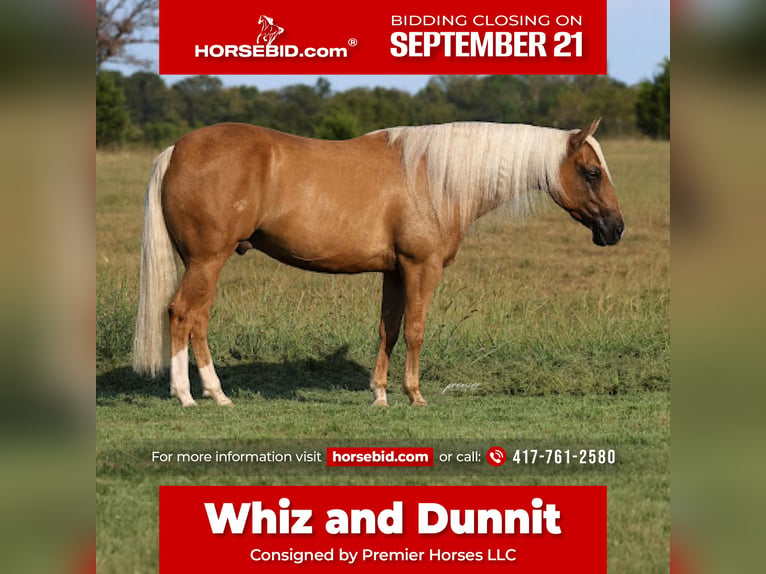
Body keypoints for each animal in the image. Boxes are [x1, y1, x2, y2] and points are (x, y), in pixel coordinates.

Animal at [132, 120, 624, 407]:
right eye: (592, 172)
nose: (616, 229)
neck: (434, 176)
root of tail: (176, 149)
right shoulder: (422, 268)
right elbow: (415, 329)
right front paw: (415, 395)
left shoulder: (394, 271)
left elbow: (388, 329)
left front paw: (381, 394)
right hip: (206, 261)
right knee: (183, 314)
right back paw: (192, 396)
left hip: (202, 263)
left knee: (195, 319)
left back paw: (211, 394)